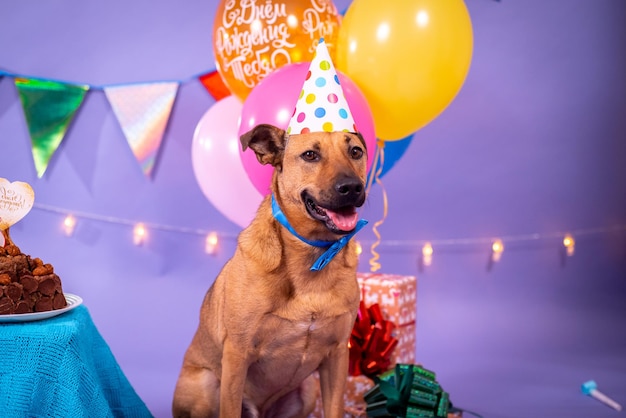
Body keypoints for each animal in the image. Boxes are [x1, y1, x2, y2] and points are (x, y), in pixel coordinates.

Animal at [171, 124, 366, 418]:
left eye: (355, 151)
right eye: (310, 155)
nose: (352, 187)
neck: (312, 254)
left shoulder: (337, 356)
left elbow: (334, 409)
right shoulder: (237, 355)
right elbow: (229, 409)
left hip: (307, 390)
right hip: (207, 383)